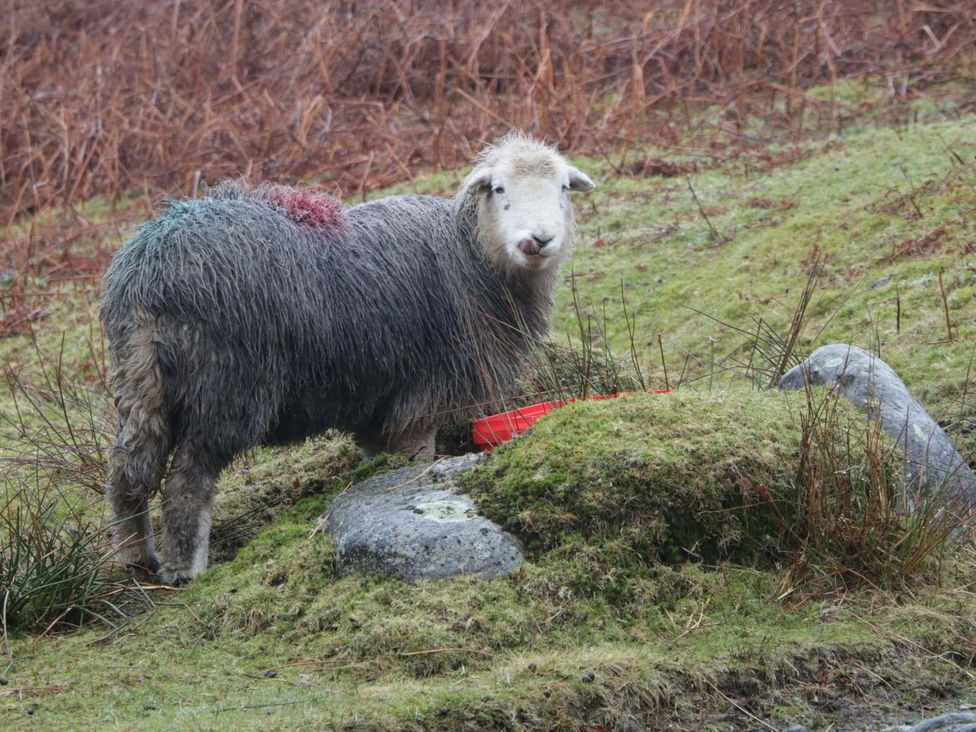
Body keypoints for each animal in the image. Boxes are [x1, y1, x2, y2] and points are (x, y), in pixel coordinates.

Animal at [100, 132, 595, 584]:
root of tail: (150, 273)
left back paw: (133, 557)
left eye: (563, 188)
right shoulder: (424, 393)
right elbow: (415, 459)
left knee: (126, 470)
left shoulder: (375, 401)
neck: (470, 255)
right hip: (226, 386)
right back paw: (185, 569)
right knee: (189, 481)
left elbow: (377, 456)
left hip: (139, 381)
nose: (539, 240)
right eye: (498, 189)